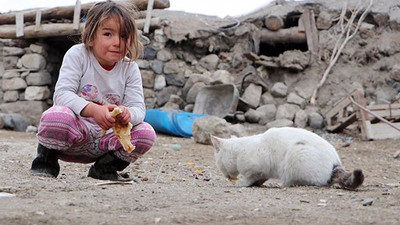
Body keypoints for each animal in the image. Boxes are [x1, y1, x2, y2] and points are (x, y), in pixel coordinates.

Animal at [211, 127, 364, 189]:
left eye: (219, 164)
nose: (226, 176)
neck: (240, 152)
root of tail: (336, 163)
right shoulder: (264, 171)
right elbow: (260, 178)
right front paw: (256, 183)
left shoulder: (256, 167)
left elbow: (250, 176)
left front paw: (242, 183)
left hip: (297, 154)